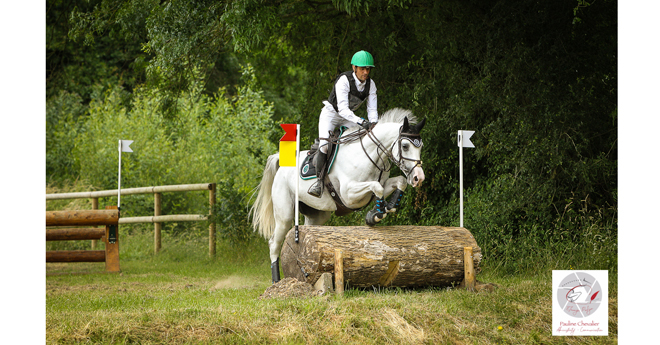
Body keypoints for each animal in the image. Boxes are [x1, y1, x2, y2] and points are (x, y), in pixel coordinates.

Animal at [250, 108, 426, 282]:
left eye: (420, 147)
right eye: (405, 146)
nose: (419, 177)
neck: (370, 156)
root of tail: (282, 165)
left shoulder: (383, 183)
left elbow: (400, 181)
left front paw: (389, 206)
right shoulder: (349, 195)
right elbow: (377, 188)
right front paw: (376, 215)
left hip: (317, 215)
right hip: (285, 214)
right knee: (274, 243)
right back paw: (276, 280)